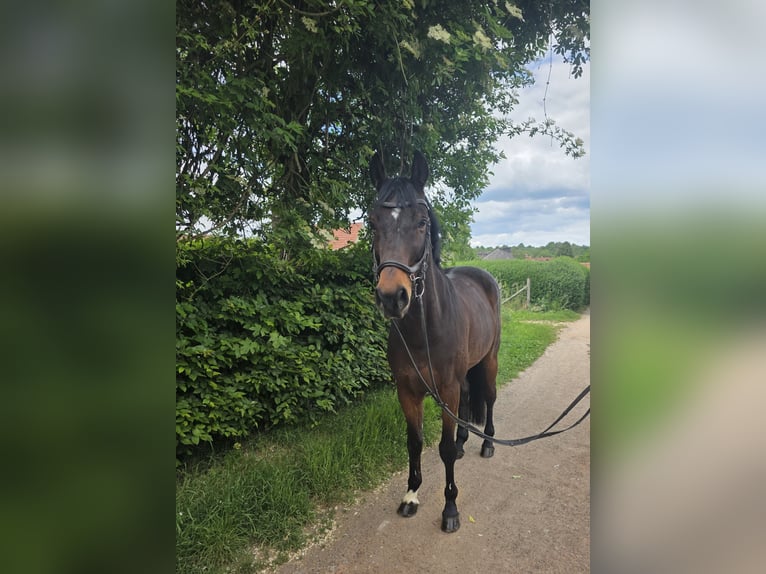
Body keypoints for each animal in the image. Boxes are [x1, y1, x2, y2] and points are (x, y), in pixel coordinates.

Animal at [368, 150, 502, 533]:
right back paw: (463, 442)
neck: (423, 331)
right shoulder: (407, 391)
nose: (392, 297)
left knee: (489, 397)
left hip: (489, 360)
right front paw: (411, 495)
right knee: (469, 400)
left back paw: (487, 443)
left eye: (422, 221)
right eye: (372, 223)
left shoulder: (446, 388)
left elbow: (441, 449)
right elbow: (414, 442)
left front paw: (450, 509)